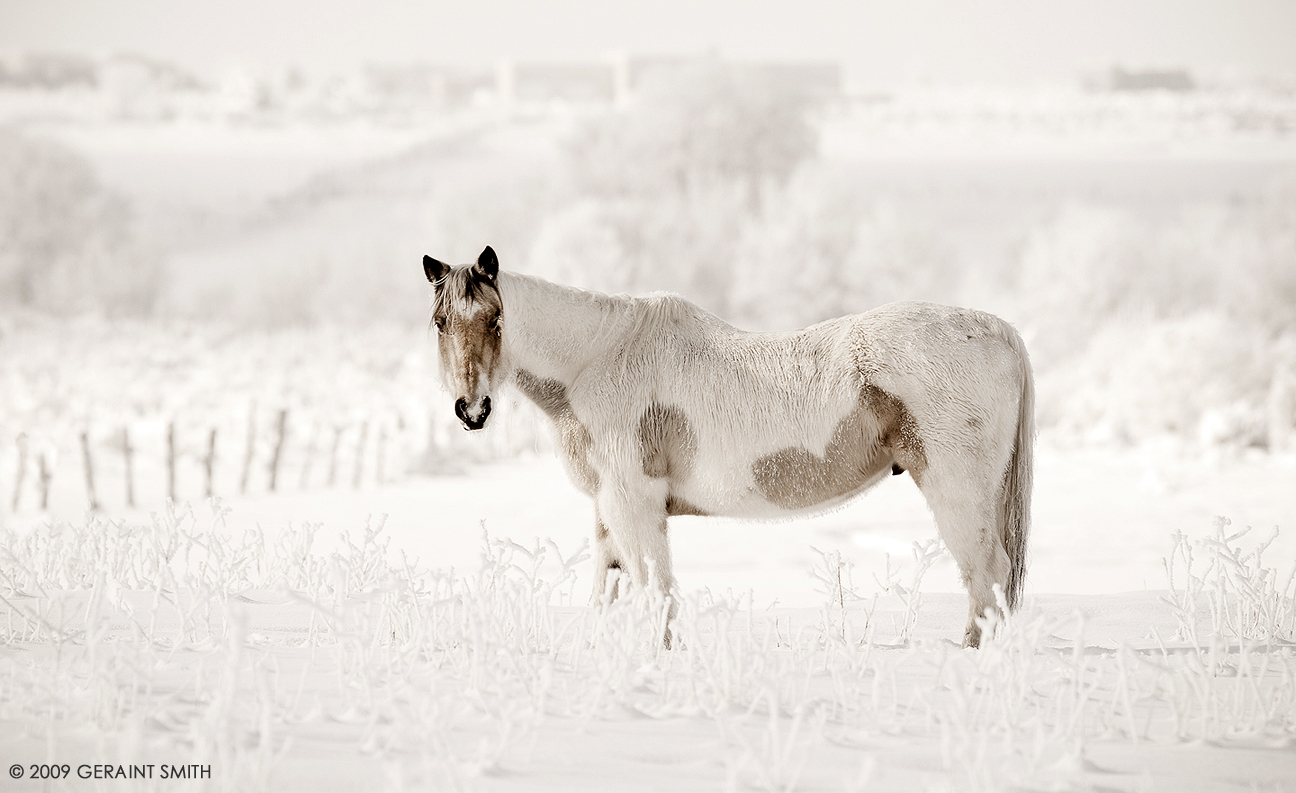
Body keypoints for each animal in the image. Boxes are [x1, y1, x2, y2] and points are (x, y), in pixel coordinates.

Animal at [422, 244, 1031, 647]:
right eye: (440, 321)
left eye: (495, 318)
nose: (471, 409)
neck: (597, 360)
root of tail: (997, 329)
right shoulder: (607, 508)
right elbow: (608, 589)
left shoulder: (633, 504)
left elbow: (655, 592)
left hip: (957, 492)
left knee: (987, 576)